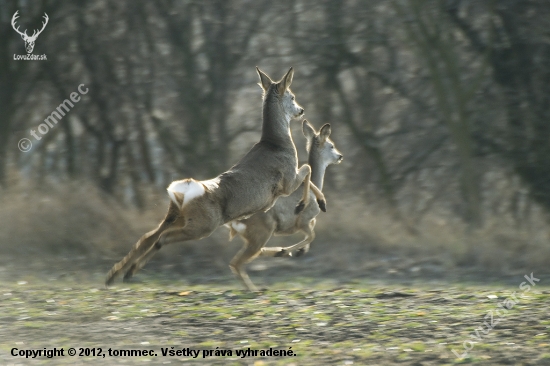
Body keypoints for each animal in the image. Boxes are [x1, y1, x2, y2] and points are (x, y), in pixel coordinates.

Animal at [104, 67, 328, 288]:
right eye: (292, 96)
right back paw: (128, 272)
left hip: (176, 216)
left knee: (148, 237)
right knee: (163, 238)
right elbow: (308, 169)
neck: (278, 143)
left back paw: (115, 276)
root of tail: (183, 190)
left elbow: (308, 172)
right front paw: (312, 204)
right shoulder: (287, 181)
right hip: (203, 225)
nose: (301, 110)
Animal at [226, 120, 342, 292]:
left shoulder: (309, 222)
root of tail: (233, 220)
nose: (340, 156)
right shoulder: (303, 221)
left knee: (248, 256)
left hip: (251, 236)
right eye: (331, 145)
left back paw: (278, 255)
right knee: (237, 262)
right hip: (262, 232)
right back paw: (255, 288)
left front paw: (298, 251)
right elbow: (311, 236)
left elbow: (311, 235)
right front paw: (290, 250)